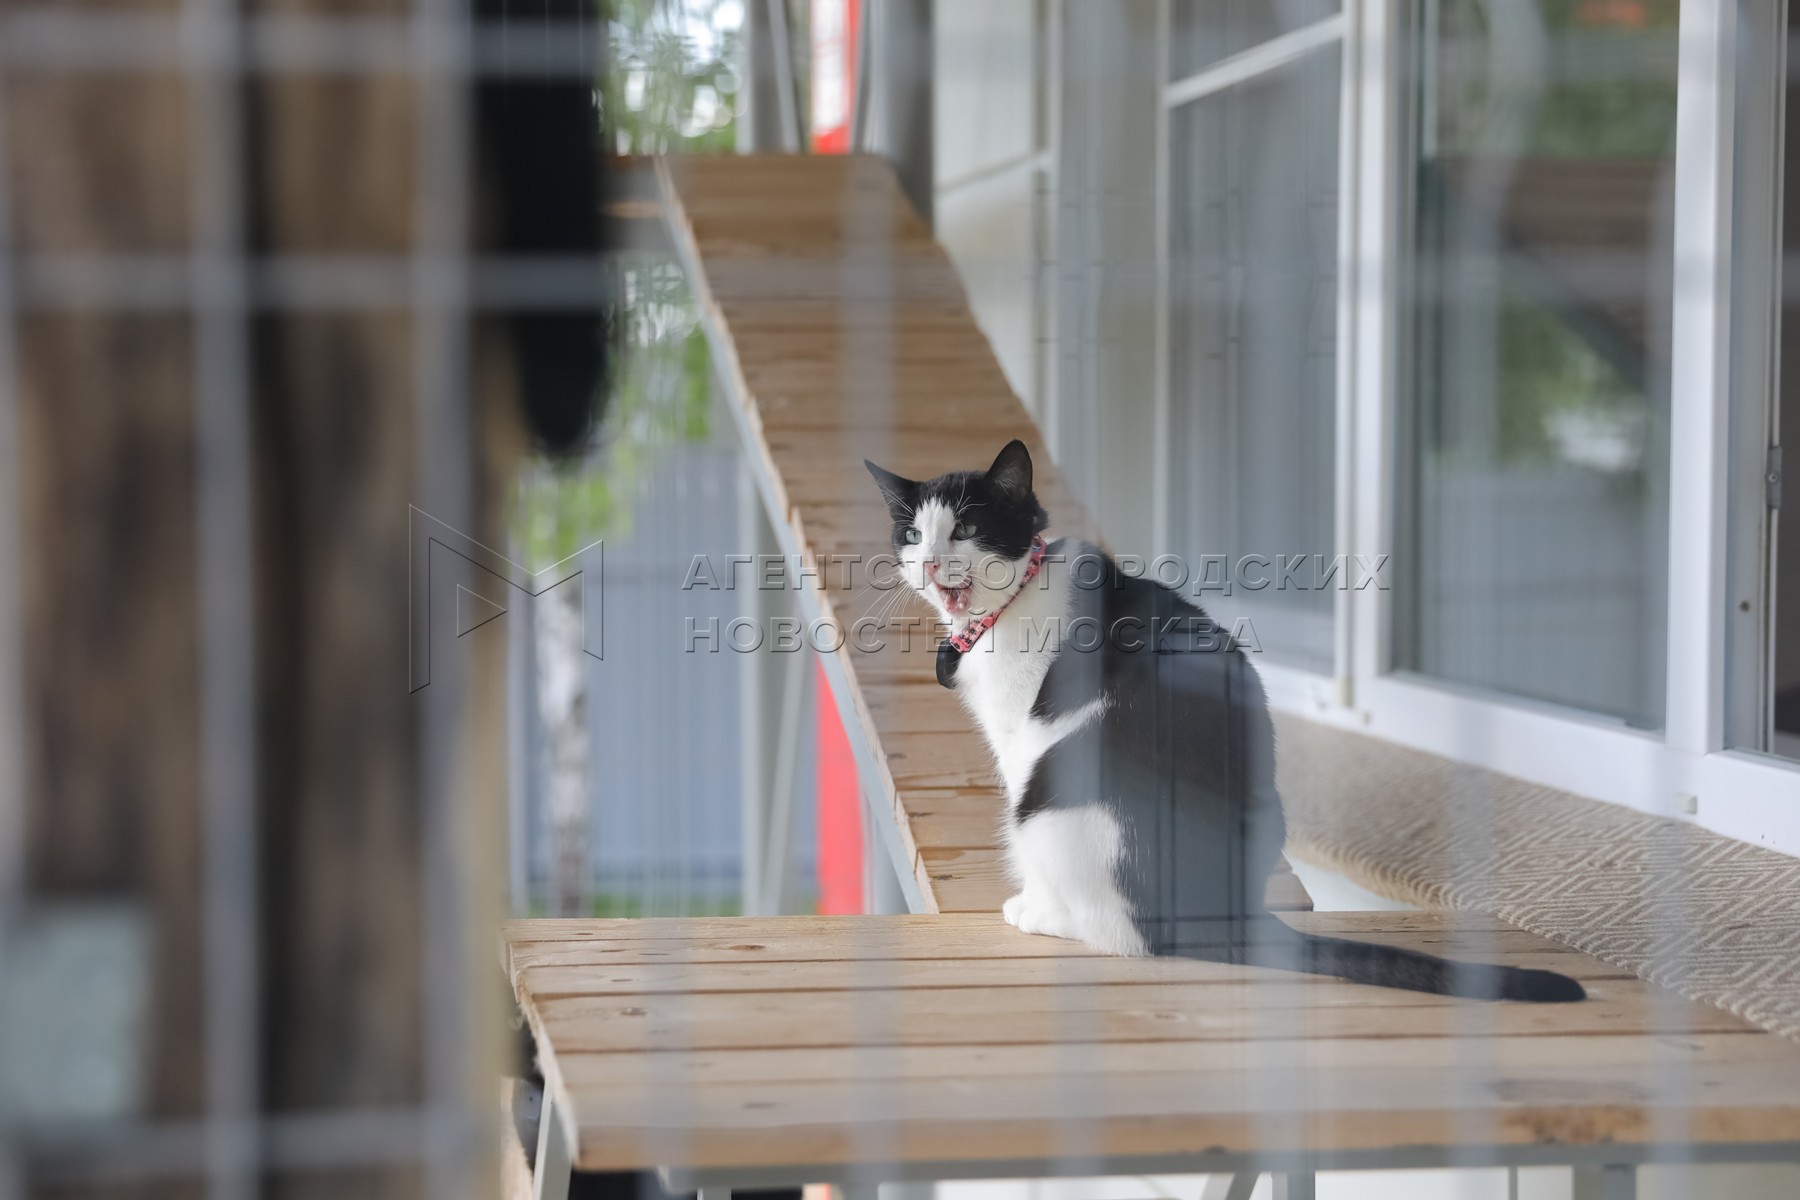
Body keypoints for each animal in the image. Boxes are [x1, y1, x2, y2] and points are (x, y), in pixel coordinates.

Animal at [865, 439, 1584, 1002]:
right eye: (912, 535)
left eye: (964, 530)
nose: (928, 562)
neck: (1010, 604)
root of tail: (1227, 914)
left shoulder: (1020, 737)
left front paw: (1032, 904)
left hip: (1048, 800)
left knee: (1118, 928)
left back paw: (1046, 914)